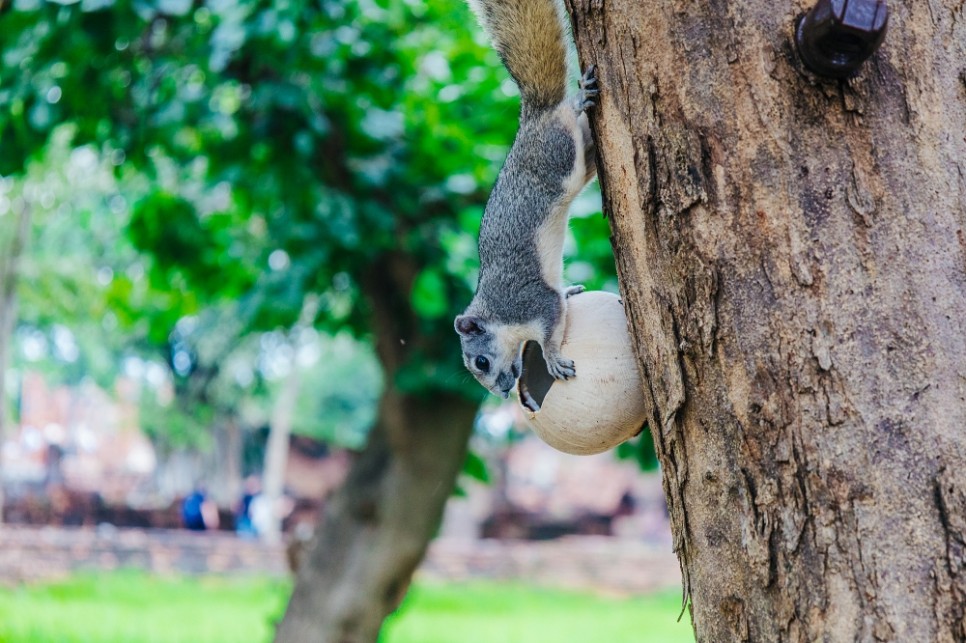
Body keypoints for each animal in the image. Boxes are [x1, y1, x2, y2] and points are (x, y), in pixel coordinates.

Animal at [456, 0, 596, 400]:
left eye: (481, 362)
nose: (503, 392)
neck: (499, 316)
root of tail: (534, 116)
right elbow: (561, 299)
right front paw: (571, 289)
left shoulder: (531, 303)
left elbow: (550, 328)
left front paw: (553, 360)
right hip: (576, 162)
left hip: (557, 156)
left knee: (566, 116)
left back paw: (578, 99)